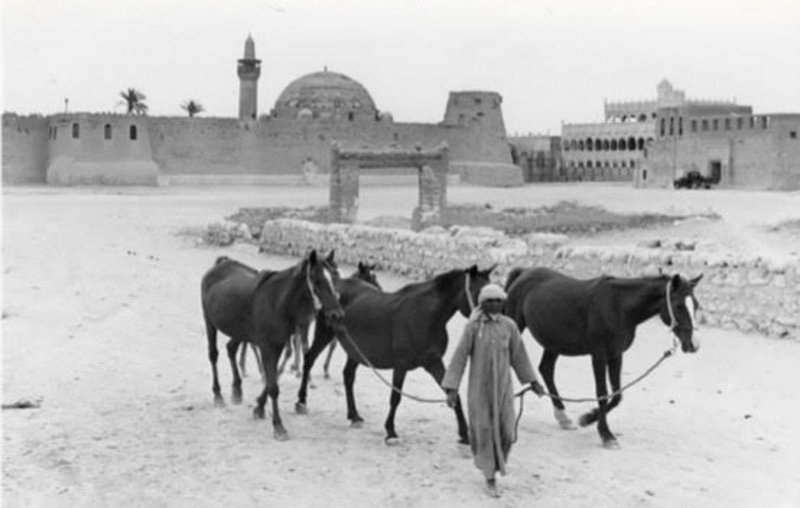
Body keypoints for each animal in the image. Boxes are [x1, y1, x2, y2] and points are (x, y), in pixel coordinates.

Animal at [202, 252, 342, 438]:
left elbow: (272, 378)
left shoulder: (278, 345)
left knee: (231, 349)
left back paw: (237, 390)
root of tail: (220, 265)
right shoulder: (266, 347)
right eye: (317, 281)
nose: (337, 314)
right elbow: (273, 386)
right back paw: (218, 395)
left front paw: (259, 408)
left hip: (239, 332)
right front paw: (278, 425)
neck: (277, 302)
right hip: (209, 323)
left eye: (334, 278)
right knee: (213, 355)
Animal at [296, 266, 494, 444]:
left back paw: (354, 415)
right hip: (324, 335)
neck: (425, 315)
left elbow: (453, 393)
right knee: (309, 360)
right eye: (479, 291)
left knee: (348, 376)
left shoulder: (434, 363)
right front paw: (390, 432)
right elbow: (395, 398)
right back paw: (301, 402)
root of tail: (333, 287)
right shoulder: (401, 366)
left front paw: (464, 434)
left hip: (355, 351)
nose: (493, 317)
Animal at [506, 268, 700, 446]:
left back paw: (564, 417)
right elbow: (602, 394)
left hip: (554, 342)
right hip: (516, 325)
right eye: (679, 305)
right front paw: (606, 434)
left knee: (546, 369)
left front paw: (588, 418)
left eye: (696, 305)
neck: (618, 307)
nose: (694, 345)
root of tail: (524, 272)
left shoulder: (616, 354)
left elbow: (617, 395)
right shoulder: (599, 355)